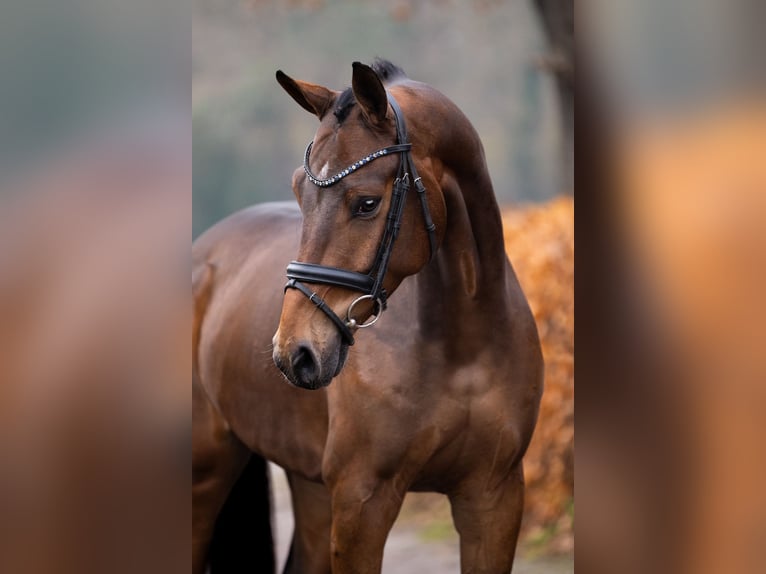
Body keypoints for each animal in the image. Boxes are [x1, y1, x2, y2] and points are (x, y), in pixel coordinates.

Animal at [192, 59, 543, 574]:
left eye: (367, 202)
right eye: (298, 189)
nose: (295, 352)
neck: (463, 350)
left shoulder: (493, 499)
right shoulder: (362, 502)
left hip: (312, 487)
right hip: (207, 474)